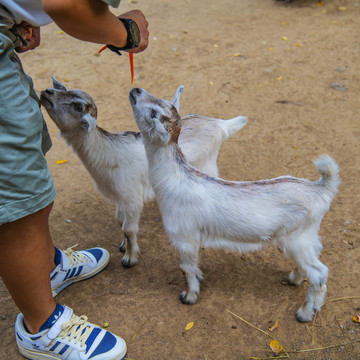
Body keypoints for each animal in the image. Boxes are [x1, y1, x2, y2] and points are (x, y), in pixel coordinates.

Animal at [40, 77, 248, 268]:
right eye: (65, 91)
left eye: (77, 106)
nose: (46, 92)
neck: (109, 153)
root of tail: (221, 125)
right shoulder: (120, 199)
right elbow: (120, 222)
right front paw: (124, 246)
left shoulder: (131, 198)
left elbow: (129, 228)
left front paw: (130, 259)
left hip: (207, 164)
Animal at [129, 88, 340, 324]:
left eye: (154, 113)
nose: (136, 90)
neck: (176, 179)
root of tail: (321, 188)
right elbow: (193, 266)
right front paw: (199, 279)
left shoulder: (184, 236)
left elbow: (186, 267)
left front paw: (189, 296)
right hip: (307, 237)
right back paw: (294, 278)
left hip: (296, 239)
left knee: (320, 273)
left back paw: (305, 313)